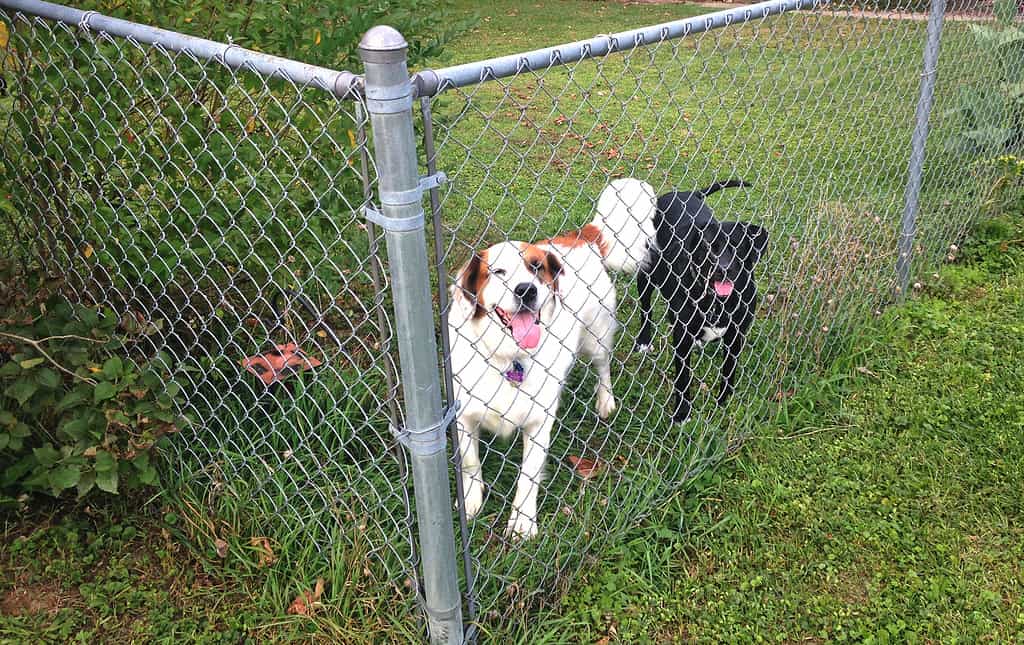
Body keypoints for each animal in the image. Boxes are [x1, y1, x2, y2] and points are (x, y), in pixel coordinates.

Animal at [448, 178, 655, 540]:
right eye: (498, 272)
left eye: (536, 267)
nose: (525, 290)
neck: (508, 356)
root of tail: (581, 237)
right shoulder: (464, 415)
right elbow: (471, 464)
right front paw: (471, 504)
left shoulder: (538, 421)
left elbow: (528, 476)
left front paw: (522, 523)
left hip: (596, 338)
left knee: (603, 368)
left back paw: (605, 402)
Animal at [634, 181, 765, 423]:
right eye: (707, 246)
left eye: (738, 246)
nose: (724, 269)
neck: (717, 301)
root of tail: (686, 193)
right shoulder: (682, 339)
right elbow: (683, 378)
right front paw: (682, 413)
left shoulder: (736, 335)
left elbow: (729, 371)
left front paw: (724, 402)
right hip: (646, 272)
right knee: (646, 309)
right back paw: (644, 340)